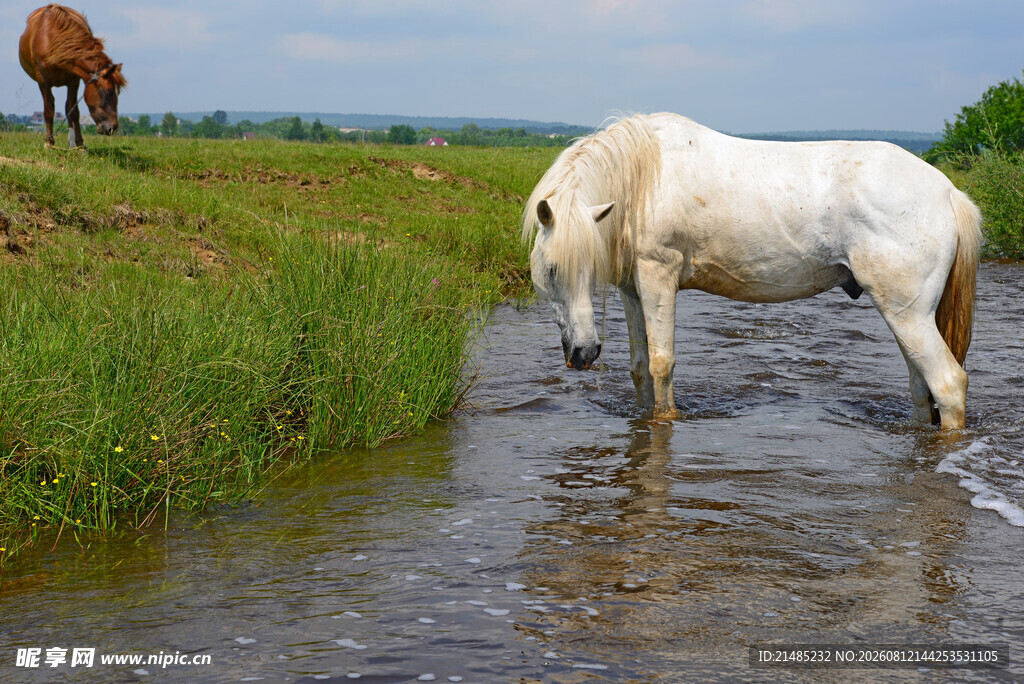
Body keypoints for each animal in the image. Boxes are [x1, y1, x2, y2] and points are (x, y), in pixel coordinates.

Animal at [19, 4, 125, 149]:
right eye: (108, 92)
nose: (113, 128)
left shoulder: (74, 80)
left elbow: (73, 111)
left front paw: (79, 144)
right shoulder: (42, 81)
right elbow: (49, 110)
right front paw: (49, 143)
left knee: (68, 108)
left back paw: (72, 143)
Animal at [523, 113, 982, 430]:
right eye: (552, 273)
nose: (583, 355)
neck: (644, 181)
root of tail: (947, 192)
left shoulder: (659, 277)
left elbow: (661, 364)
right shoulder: (633, 290)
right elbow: (639, 368)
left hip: (908, 314)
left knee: (947, 383)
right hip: (906, 316)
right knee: (921, 388)